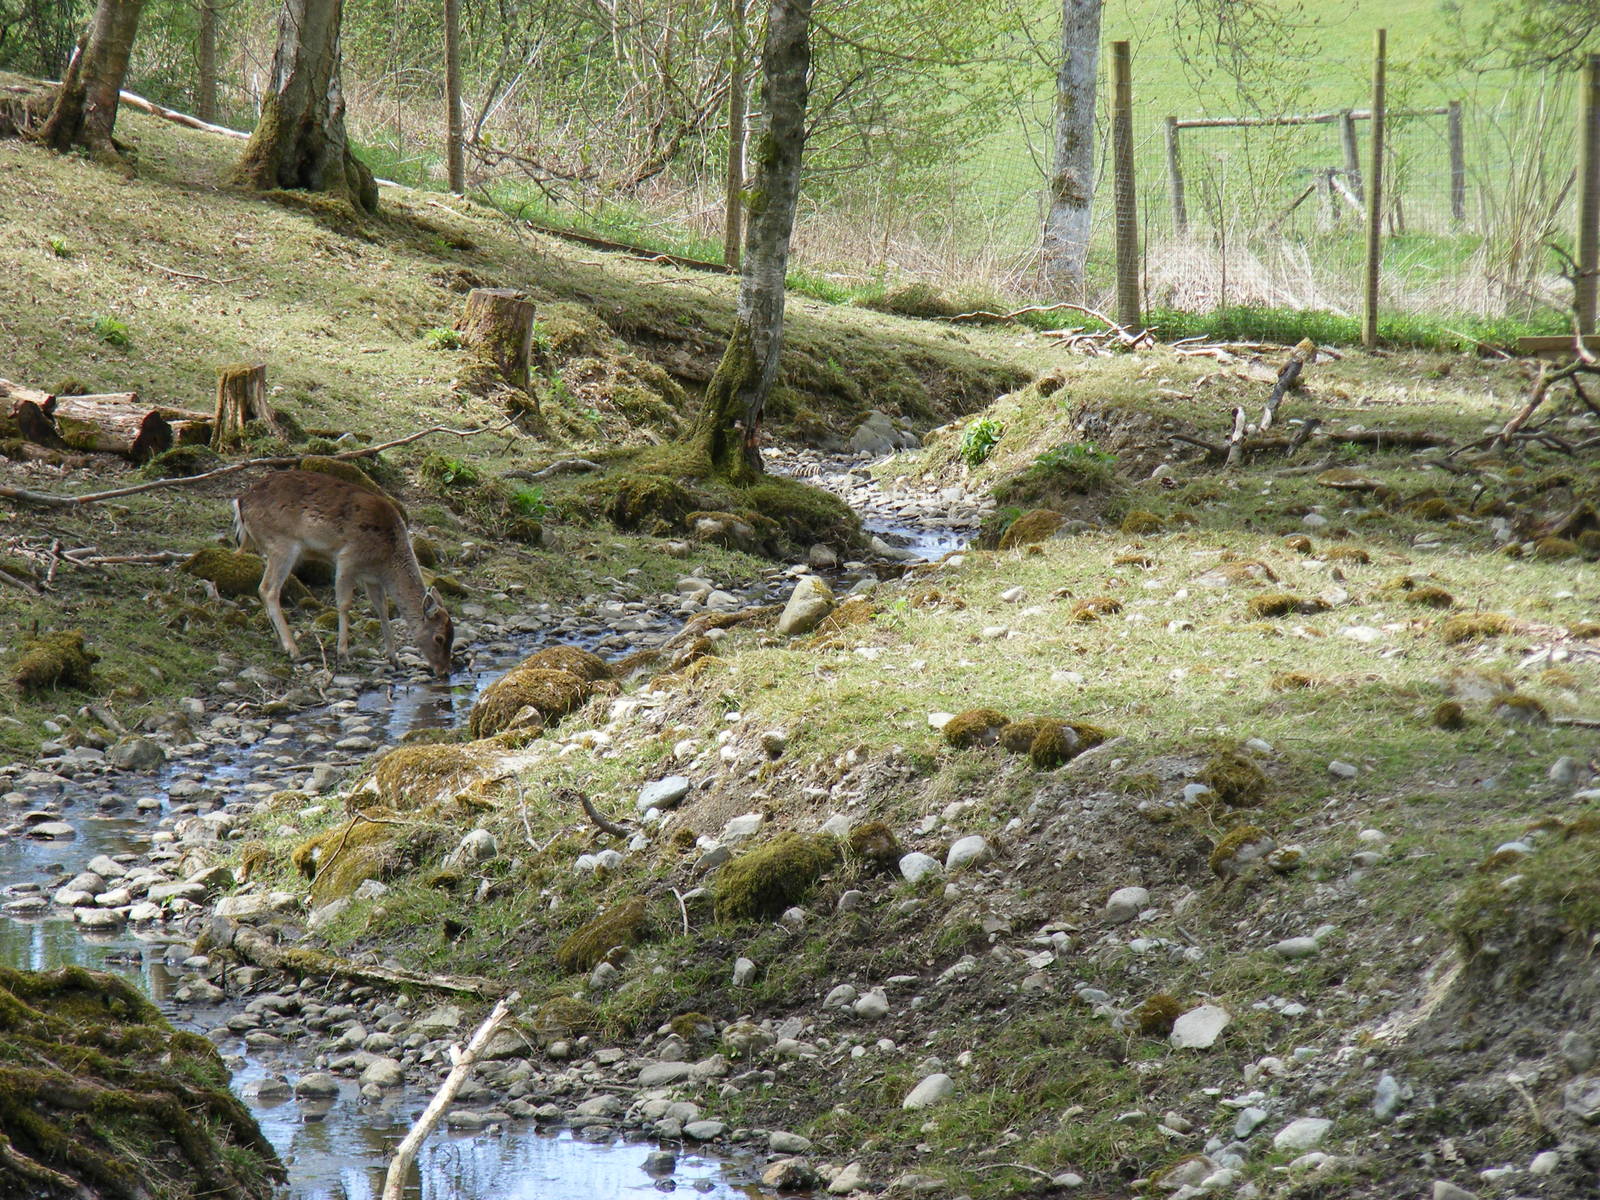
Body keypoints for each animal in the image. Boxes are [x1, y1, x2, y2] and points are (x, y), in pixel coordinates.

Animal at [233, 470, 454, 676]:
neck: (387, 560)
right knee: (268, 589)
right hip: (281, 544)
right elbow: (344, 604)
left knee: (263, 589)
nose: (444, 671)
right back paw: (293, 649)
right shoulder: (347, 559)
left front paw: (395, 659)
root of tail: (240, 502)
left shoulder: (372, 578)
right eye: (439, 638)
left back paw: (280, 642)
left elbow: (382, 608)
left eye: (452, 636)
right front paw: (343, 654)